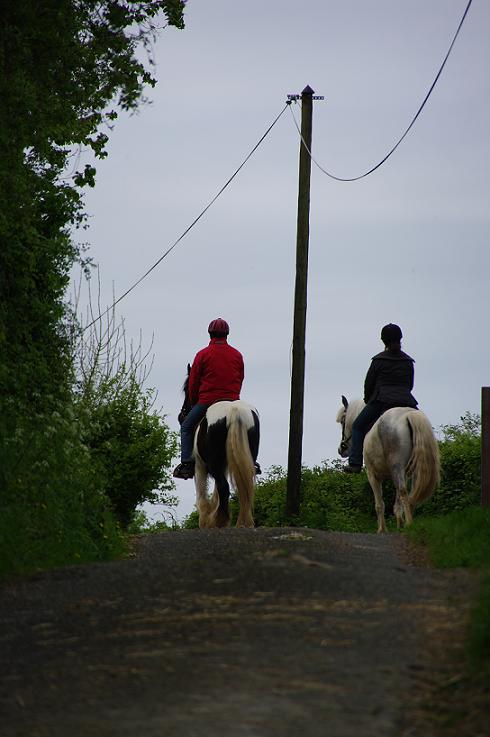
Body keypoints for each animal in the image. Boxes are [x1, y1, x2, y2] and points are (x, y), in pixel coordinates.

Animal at [177, 368, 260, 528]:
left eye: (186, 389)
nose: (181, 416)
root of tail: (234, 410)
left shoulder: (199, 467)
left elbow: (202, 497)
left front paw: (205, 522)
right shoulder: (225, 465)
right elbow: (216, 496)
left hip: (212, 463)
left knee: (224, 487)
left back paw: (220, 520)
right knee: (243, 489)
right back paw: (243, 522)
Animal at [336, 396, 440, 536]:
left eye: (343, 421)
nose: (341, 449)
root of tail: (408, 414)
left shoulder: (372, 475)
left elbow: (379, 504)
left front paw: (382, 529)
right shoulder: (403, 473)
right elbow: (397, 503)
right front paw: (399, 524)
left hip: (396, 466)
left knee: (403, 491)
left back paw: (409, 524)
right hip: (414, 469)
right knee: (412, 495)